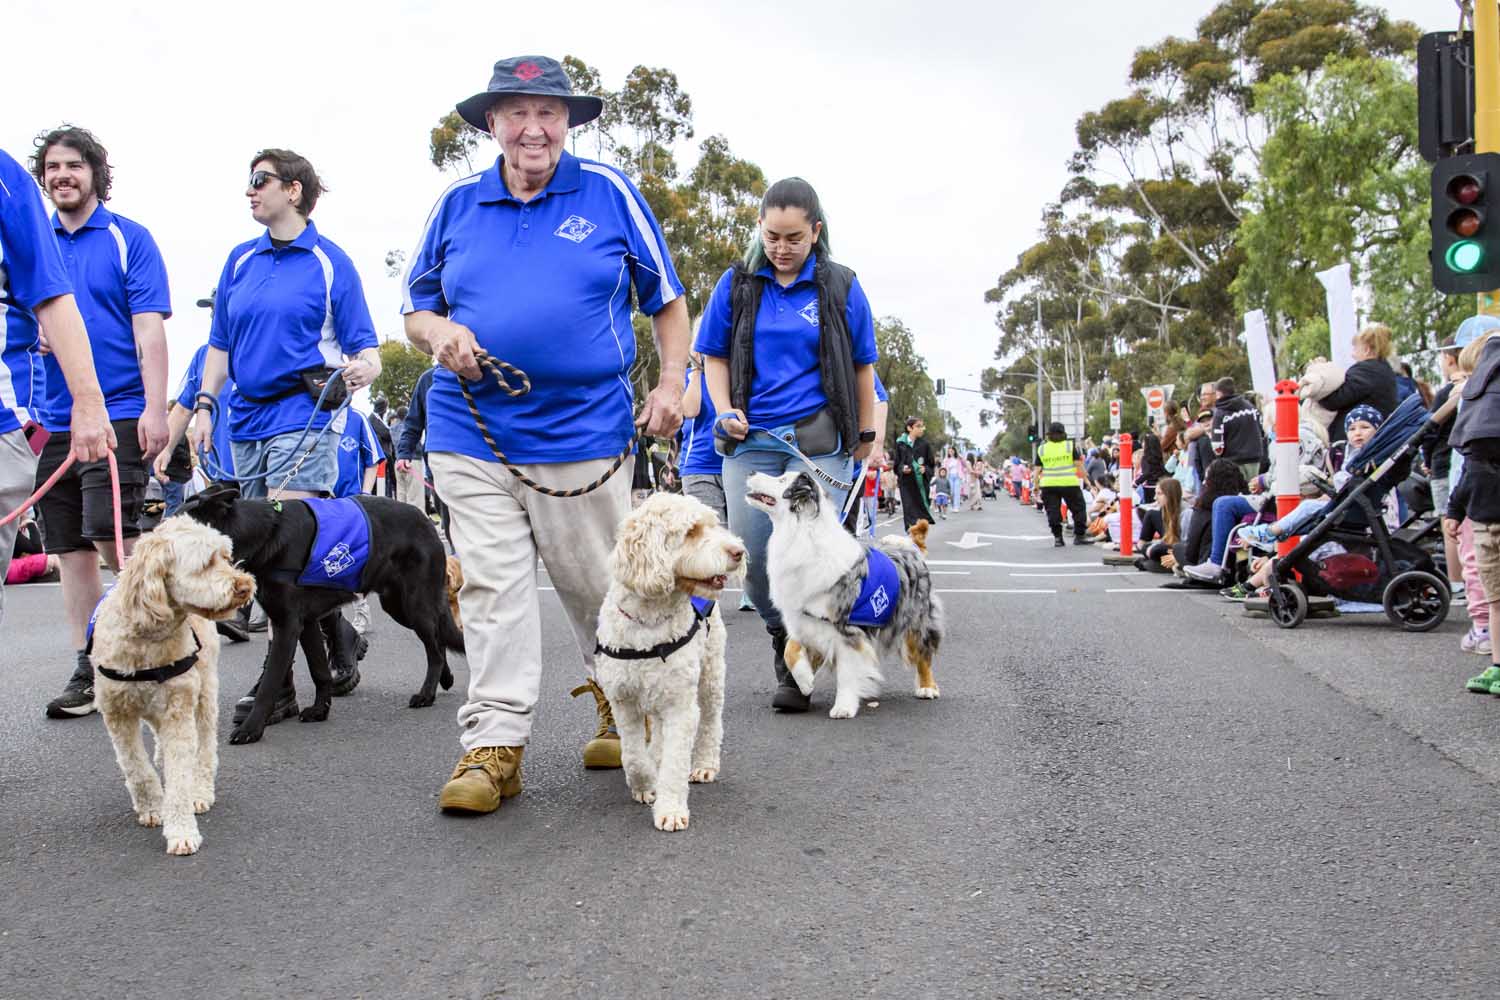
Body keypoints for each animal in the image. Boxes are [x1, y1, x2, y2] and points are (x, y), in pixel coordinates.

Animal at [92, 515, 255, 851]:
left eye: (226, 557)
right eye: (206, 562)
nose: (245, 586)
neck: (148, 641)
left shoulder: (178, 711)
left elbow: (181, 775)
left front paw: (181, 831)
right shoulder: (117, 714)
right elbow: (136, 767)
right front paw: (152, 807)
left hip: (205, 693)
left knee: (204, 748)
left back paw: (201, 790)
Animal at [175, 485, 459, 743]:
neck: (265, 534)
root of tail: (426, 520)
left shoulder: (287, 624)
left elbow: (270, 683)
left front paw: (251, 729)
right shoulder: (308, 623)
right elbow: (319, 671)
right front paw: (321, 710)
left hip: (415, 605)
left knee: (434, 648)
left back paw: (427, 694)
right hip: (398, 606)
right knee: (438, 642)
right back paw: (444, 679)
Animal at [591, 491, 744, 827]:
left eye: (714, 524)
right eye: (691, 531)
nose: (739, 551)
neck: (649, 623)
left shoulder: (679, 705)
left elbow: (675, 763)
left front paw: (670, 810)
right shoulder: (624, 701)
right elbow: (633, 756)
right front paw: (646, 783)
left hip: (710, 675)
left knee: (711, 721)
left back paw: (704, 764)